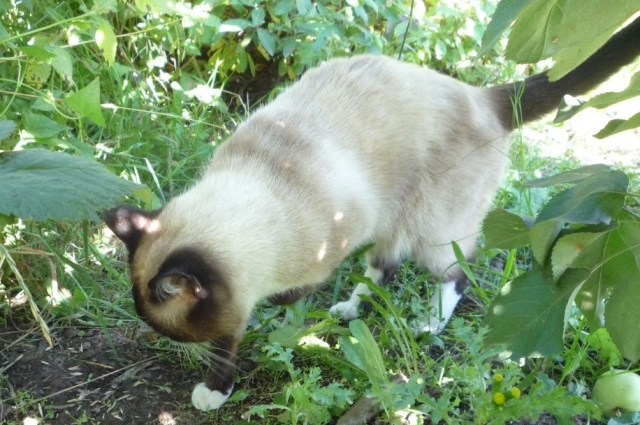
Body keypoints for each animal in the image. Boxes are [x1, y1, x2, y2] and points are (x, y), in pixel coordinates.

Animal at [102, 16, 636, 410]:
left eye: (165, 326)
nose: (157, 337)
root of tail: (481, 95)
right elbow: (238, 332)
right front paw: (221, 383)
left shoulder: (324, 248)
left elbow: (276, 304)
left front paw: (221, 381)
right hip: (394, 220)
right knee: (384, 266)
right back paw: (348, 310)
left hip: (430, 227)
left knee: (456, 272)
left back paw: (427, 325)